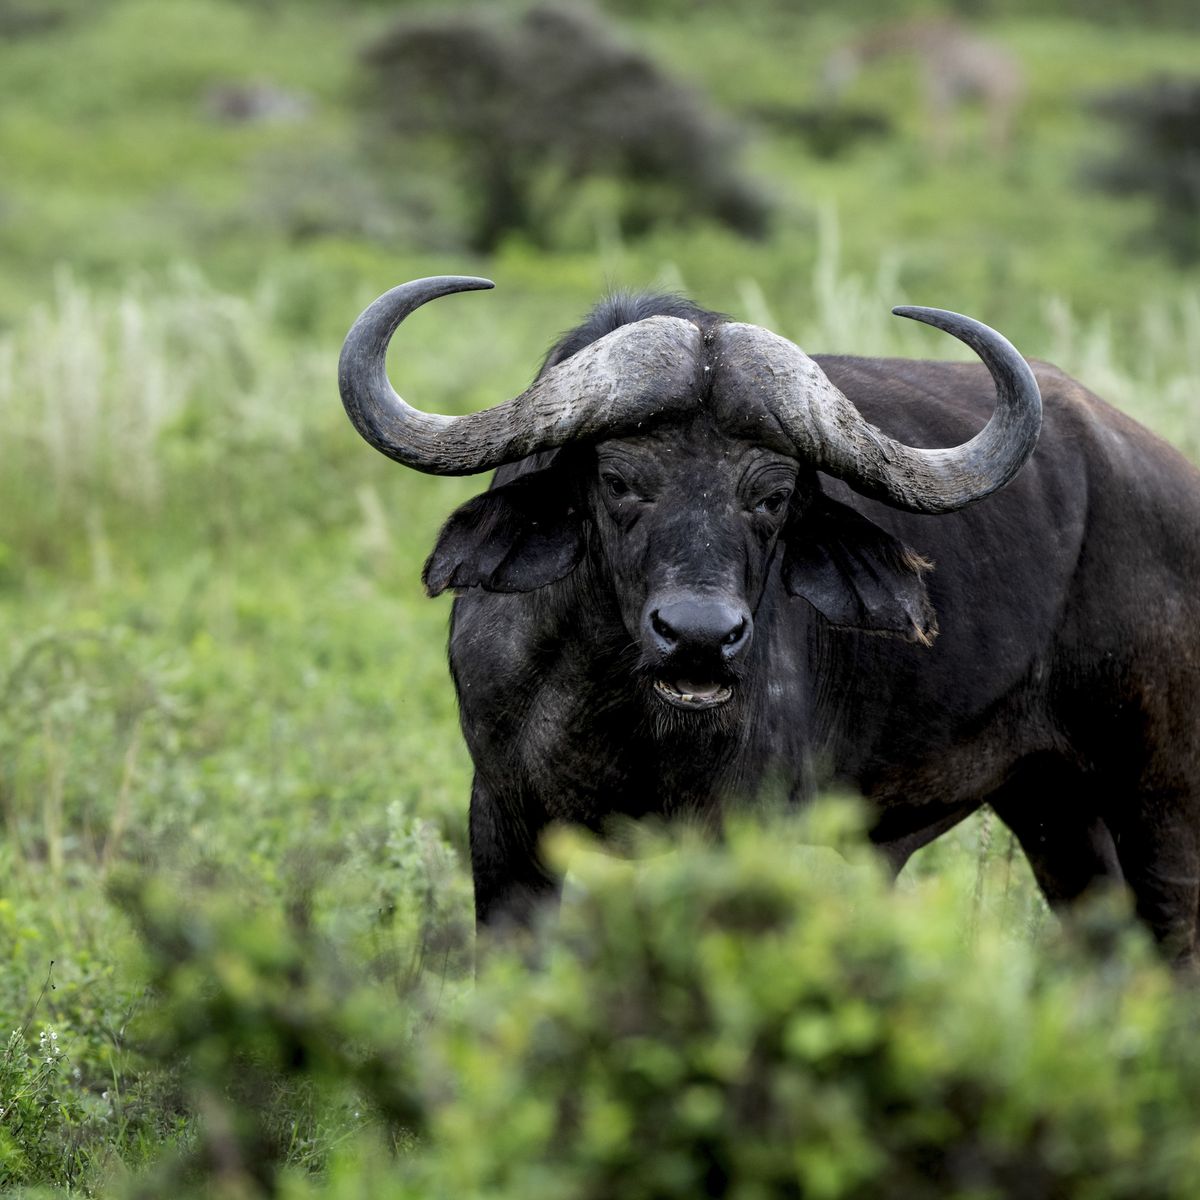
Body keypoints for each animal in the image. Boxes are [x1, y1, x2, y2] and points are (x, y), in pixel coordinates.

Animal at [339, 277, 1200, 962]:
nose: (698, 637)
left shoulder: (741, 835)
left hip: (1161, 801)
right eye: (618, 481)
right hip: (1053, 803)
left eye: (774, 496)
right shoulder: (503, 820)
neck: (616, 702)